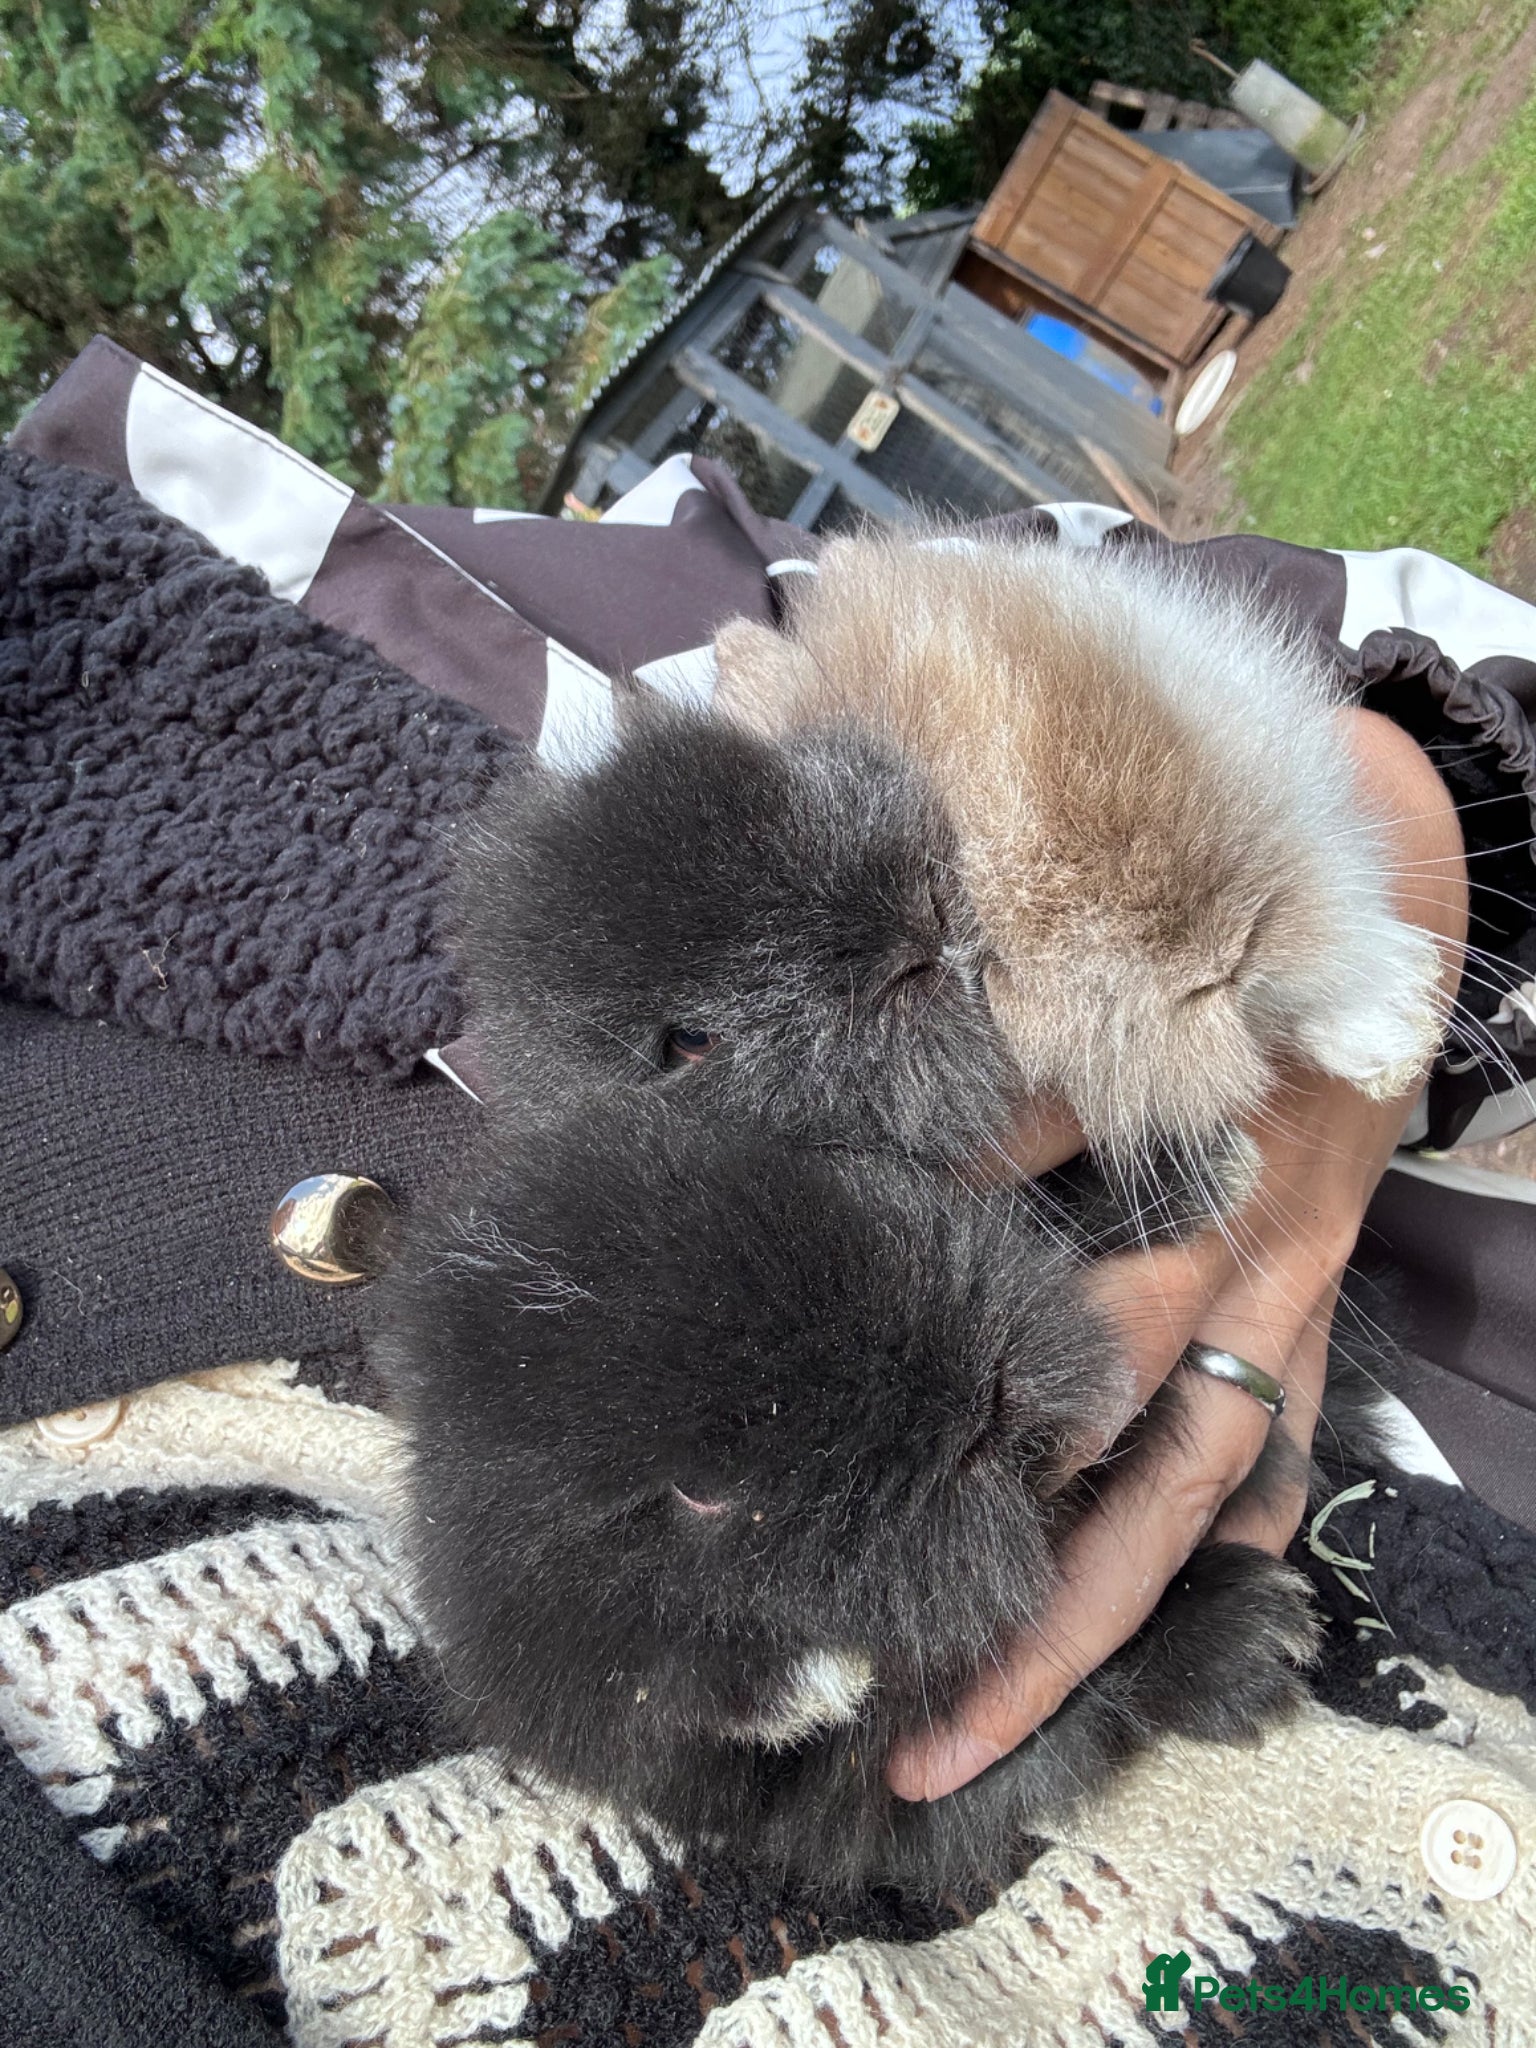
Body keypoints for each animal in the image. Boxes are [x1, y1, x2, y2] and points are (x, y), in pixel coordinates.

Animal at [375, 1083, 1363, 1899]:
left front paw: (1209, 1165)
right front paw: (823, 1683)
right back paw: (1257, 1635)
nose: (978, 1398)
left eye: (815, 1194)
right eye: (700, 1493)